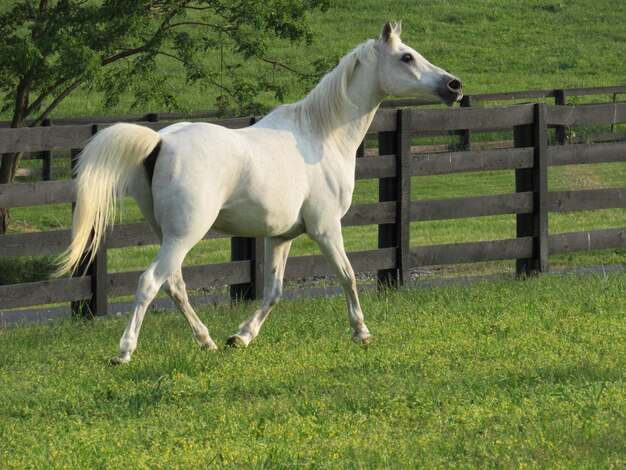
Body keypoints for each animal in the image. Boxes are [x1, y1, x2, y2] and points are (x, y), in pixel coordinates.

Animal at [57, 21, 458, 364]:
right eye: (406, 57)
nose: (454, 85)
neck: (319, 136)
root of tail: (160, 142)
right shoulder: (326, 227)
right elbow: (347, 274)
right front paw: (361, 332)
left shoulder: (281, 237)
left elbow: (274, 292)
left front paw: (242, 336)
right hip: (185, 234)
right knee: (150, 282)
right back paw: (125, 351)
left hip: (169, 235)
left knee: (175, 285)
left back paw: (207, 341)